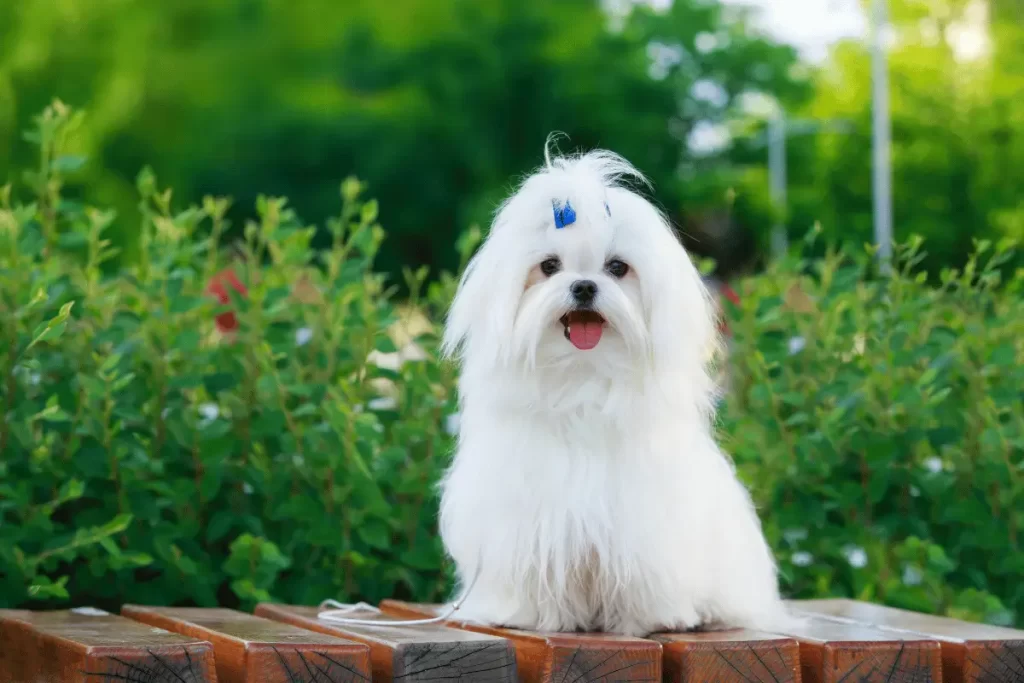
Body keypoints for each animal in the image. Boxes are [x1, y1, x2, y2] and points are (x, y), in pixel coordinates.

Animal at [436, 144, 786, 634]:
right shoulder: (527, 519)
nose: (584, 286)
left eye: (617, 268)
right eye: (549, 267)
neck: (583, 379)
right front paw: (529, 614)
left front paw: (647, 619)